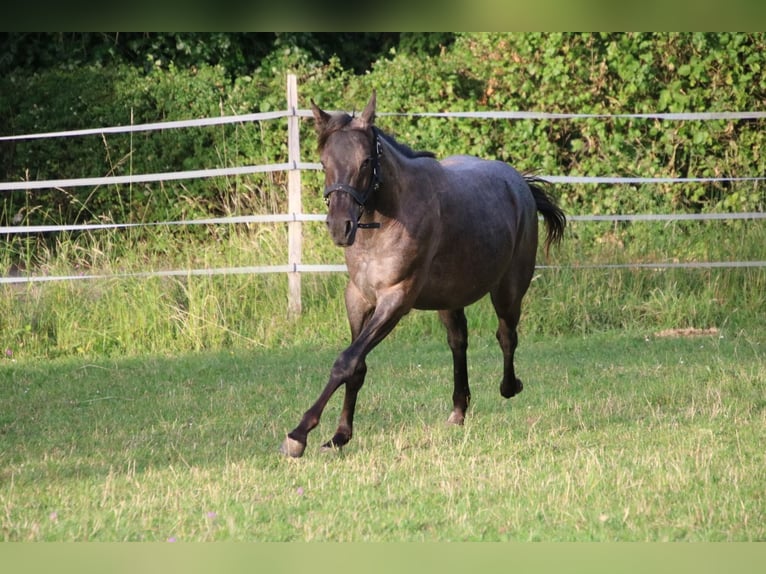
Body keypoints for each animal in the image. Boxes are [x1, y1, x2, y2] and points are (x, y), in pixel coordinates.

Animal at [280, 91, 566, 457]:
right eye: (324, 163)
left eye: (365, 162)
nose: (340, 227)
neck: (388, 219)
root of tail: (521, 185)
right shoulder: (358, 298)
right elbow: (356, 366)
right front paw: (340, 435)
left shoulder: (396, 299)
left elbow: (346, 361)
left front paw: (299, 434)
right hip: (450, 298)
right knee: (458, 341)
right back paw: (459, 409)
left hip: (509, 289)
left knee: (506, 335)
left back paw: (509, 386)